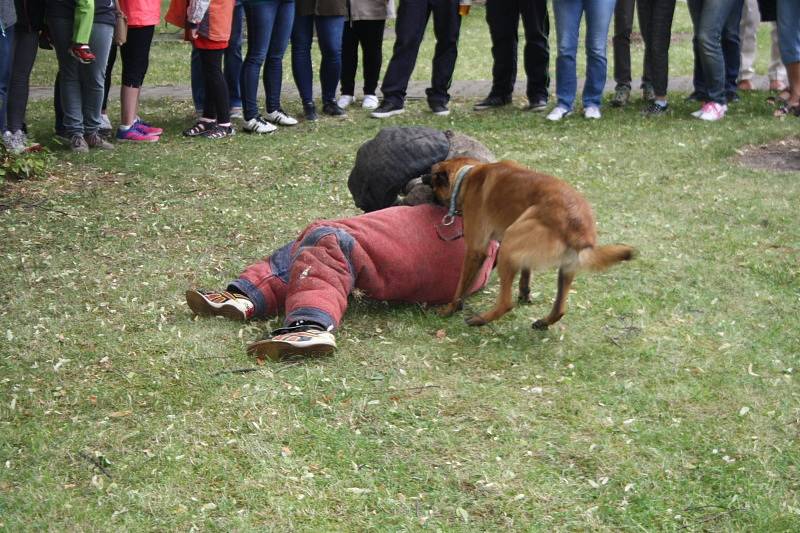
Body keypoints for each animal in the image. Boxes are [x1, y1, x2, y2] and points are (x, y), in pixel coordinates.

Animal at [428, 156, 636, 326]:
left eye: (433, 184)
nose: (423, 180)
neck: (467, 174)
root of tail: (577, 225)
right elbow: (526, 271)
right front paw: (525, 291)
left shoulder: (475, 249)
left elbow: (461, 286)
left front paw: (450, 309)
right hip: (565, 266)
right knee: (560, 308)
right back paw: (544, 322)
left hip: (510, 242)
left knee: (506, 303)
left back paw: (480, 320)